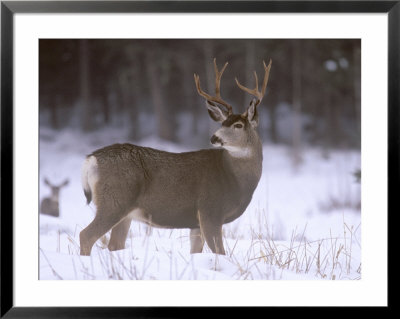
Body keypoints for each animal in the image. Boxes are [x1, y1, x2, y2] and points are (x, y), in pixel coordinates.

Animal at [79, 58, 270, 258]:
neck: (235, 180)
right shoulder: (210, 210)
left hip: (125, 213)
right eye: (222, 123)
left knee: (114, 244)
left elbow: (196, 251)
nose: (214, 138)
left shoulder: (196, 223)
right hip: (114, 200)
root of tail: (91, 159)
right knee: (86, 235)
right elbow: (220, 252)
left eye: (238, 125)